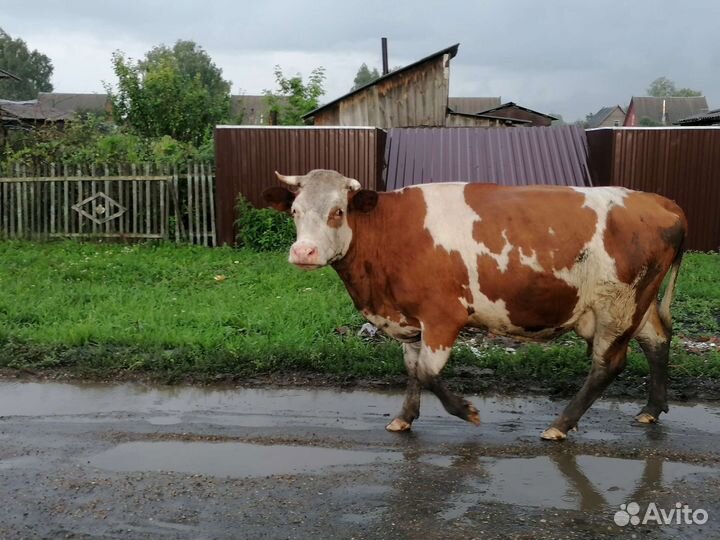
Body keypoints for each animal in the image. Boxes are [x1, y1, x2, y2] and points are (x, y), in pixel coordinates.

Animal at [262, 169, 687, 441]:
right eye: (295, 212)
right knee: (656, 340)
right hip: (638, 304)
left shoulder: (442, 316)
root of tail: (662, 202)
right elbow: (412, 370)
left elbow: (429, 372)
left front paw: (467, 411)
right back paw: (652, 408)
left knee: (608, 365)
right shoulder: (409, 320)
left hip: (618, 307)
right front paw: (404, 418)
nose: (303, 252)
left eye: (338, 211)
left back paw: (561, 425)